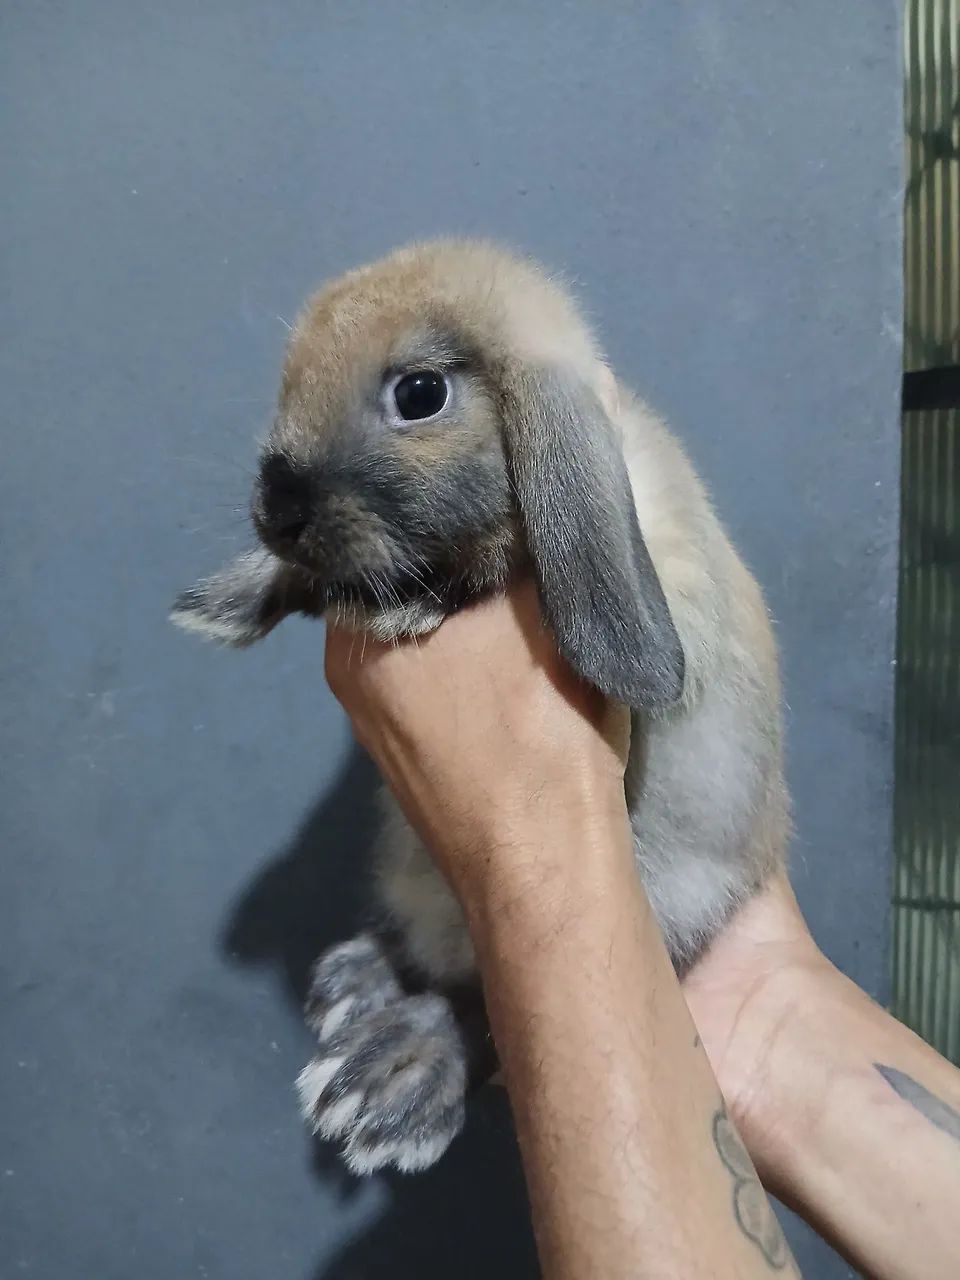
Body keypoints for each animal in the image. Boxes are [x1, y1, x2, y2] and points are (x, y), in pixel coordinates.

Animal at [172, 239, 788, 1177]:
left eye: (420, 394)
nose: (276, 513)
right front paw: (241, 600)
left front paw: (408, 606)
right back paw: (358, 983)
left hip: (669, 897)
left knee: (482, 1013)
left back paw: (391, 1077)